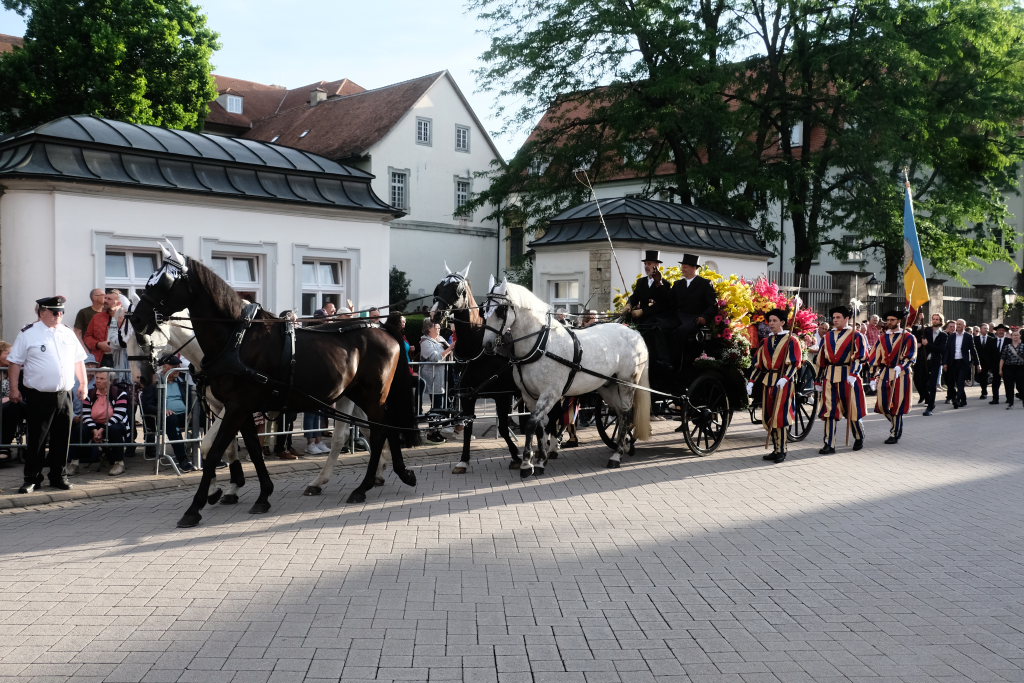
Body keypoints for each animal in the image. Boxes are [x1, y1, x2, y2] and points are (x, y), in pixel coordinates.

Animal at [129, 242, 418, 527]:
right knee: (375, 429)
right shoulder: (240, 408)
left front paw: (196, 506)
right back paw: (388, 474)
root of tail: (383, 328)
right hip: (355, 395)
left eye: (163, 283)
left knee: (378, 431)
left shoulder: (236, 407)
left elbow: (214, 452)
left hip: (372, 395)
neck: (237, 339)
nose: (137, 319)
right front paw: (259, 494)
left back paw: (364, 486)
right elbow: (251, 450)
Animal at [430, 263, 562, 473]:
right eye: (438, 288)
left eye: (457, 290)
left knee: (555, 416)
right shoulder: (468, 396)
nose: (435, 314)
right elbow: (468, 427)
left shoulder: (503, 395)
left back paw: (553, 446)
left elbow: (502, 427)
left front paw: (516, 456)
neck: (477, 349)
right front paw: (463, 460)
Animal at [481, 277, 651, 475]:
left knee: (626, 414)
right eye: (484, 309)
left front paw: (527, 464)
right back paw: (624, 446)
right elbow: (540, 426)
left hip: (627, 383)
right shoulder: (528, 396)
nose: (487, 345)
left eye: (500, 310)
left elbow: (531, 424)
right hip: (608, 386)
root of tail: (634, 332)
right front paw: (540, 460)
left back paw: (616, 456)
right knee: (620, 415)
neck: (541, 346)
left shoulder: (550, 394)